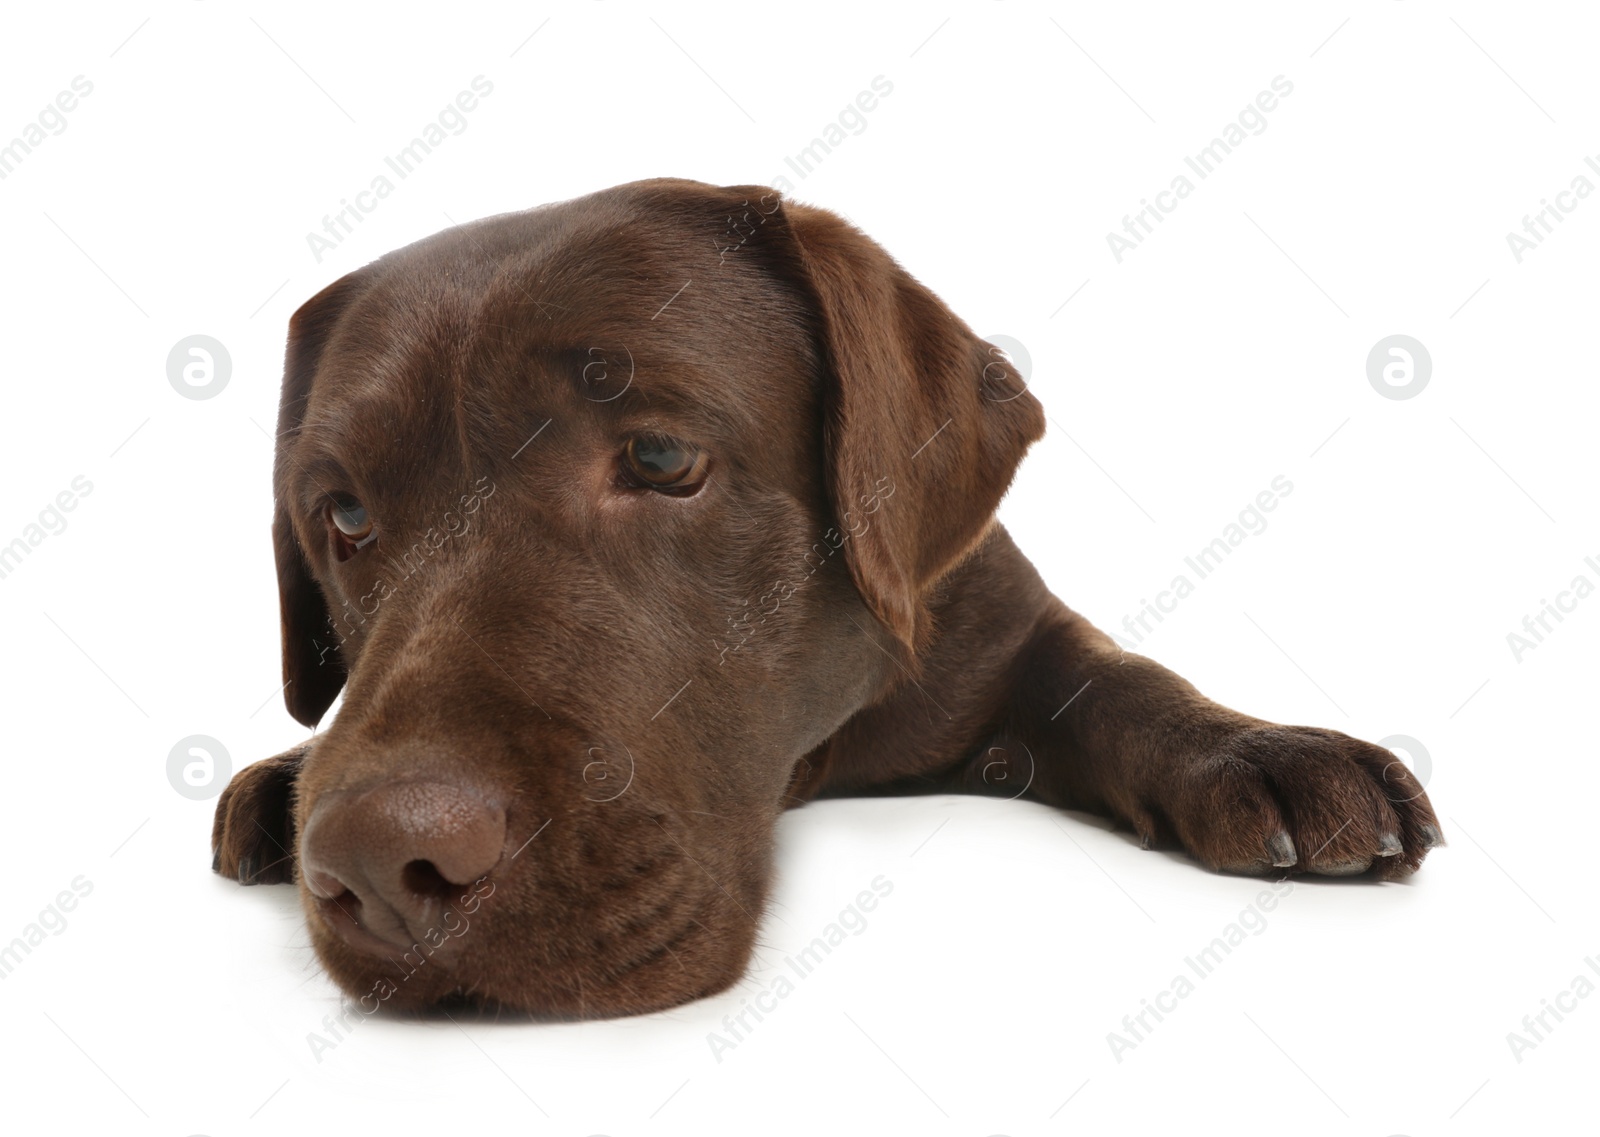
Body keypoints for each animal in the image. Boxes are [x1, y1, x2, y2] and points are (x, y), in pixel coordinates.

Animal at [206, 175, 1446, 1017]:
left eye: (659, 458)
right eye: (345, 517)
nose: (382, 866)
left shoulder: (999, 625)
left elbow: (1117, 676)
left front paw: (1258, 750)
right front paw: (286, 775)